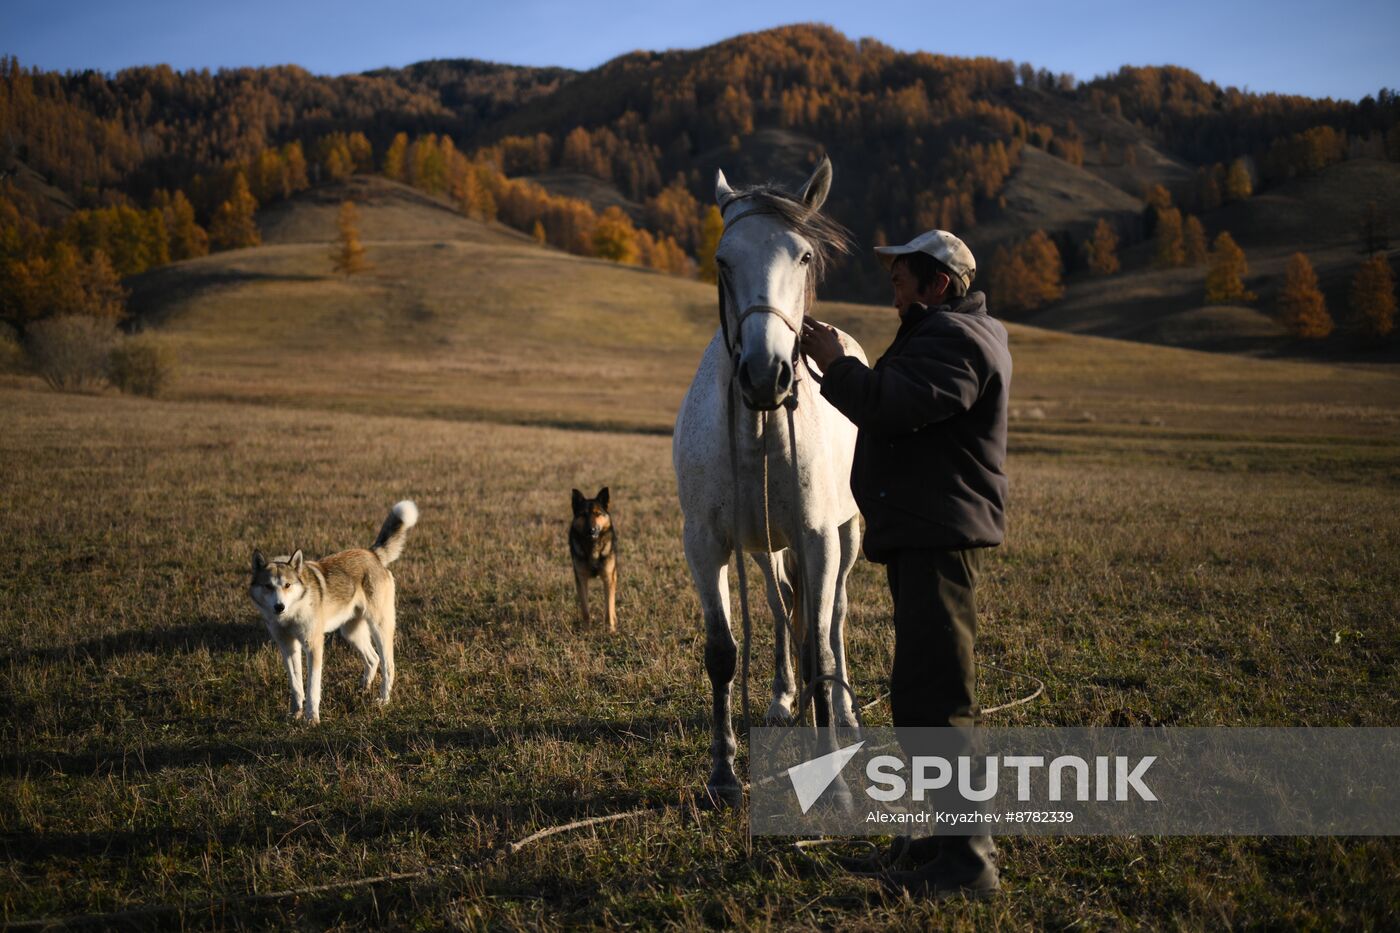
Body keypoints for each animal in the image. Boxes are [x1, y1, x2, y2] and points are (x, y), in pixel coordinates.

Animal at [247, 501, 414, 717]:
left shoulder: (313, 645)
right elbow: (295, 684)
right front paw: (295, 713)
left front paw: (311, 717)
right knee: (373, 658)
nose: (279, 606)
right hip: (351, 632)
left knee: (388, 665)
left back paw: (383, 699)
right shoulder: (288, 646)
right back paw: (362, 689)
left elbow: (312, 687)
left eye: (287, 585)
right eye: (268, 586)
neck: (292, 612)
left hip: (379, 628)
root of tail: (372, 554)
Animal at [568, 487, 618, 633]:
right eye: (583, 514)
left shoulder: (608, 578)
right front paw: (586, 630)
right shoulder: (581, 579)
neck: (592, 546)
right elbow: (585, 609)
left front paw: (610, 630)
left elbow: (608, 607)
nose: (592, 530)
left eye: (597, 514)